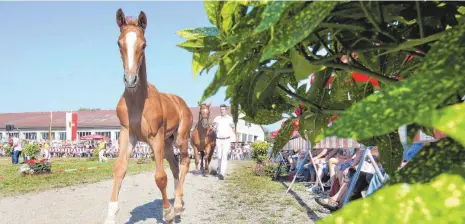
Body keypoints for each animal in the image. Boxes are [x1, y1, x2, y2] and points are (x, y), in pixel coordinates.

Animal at [103, 8, 192, 224]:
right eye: (119, 43)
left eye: (144, 45)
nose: (130, 80)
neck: (137, 102)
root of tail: (182, 103)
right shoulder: (127, 133)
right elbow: (119, 169)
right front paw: (111, 215)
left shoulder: (155, 136)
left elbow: (160, 176)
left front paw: (167, 212)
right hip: (167, 144)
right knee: (175, 166)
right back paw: (178, 200)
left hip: (180, 138)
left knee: (185, 163)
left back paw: (177, 205)